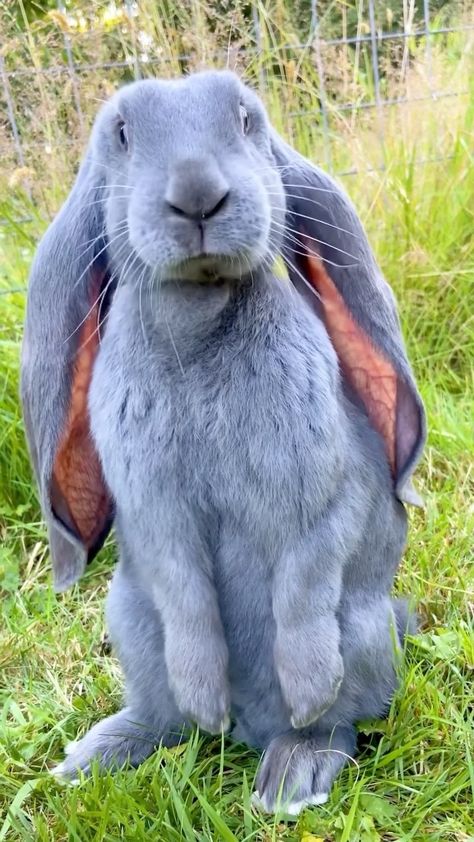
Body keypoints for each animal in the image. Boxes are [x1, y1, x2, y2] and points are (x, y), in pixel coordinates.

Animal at [21, 70, 426, 812]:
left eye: (245, 120)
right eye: (122, 135)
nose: (197, 194)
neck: (200, 324)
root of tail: (249, 731)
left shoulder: (316, 501)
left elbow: (304, 583)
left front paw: (307, 688)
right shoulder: (157, 517)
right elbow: (184, 591)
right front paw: (205, 696)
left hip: (360, 633)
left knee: (339, 723)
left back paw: (291, 771)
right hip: (131, 623)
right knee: (165, 718)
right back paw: (100, 755)